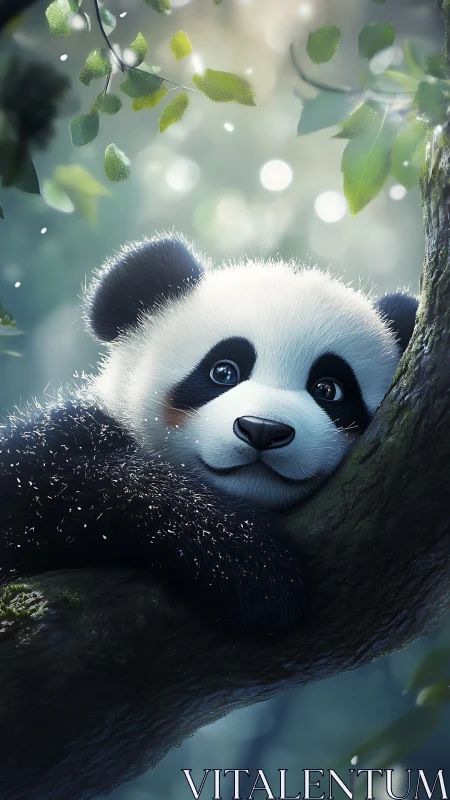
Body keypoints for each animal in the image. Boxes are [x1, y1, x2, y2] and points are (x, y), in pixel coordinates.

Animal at [0, 234, 419, 633]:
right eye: (223, 371)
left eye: (329, 389)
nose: (262, 430)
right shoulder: (65, 436)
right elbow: (50, 485)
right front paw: (256, 568)